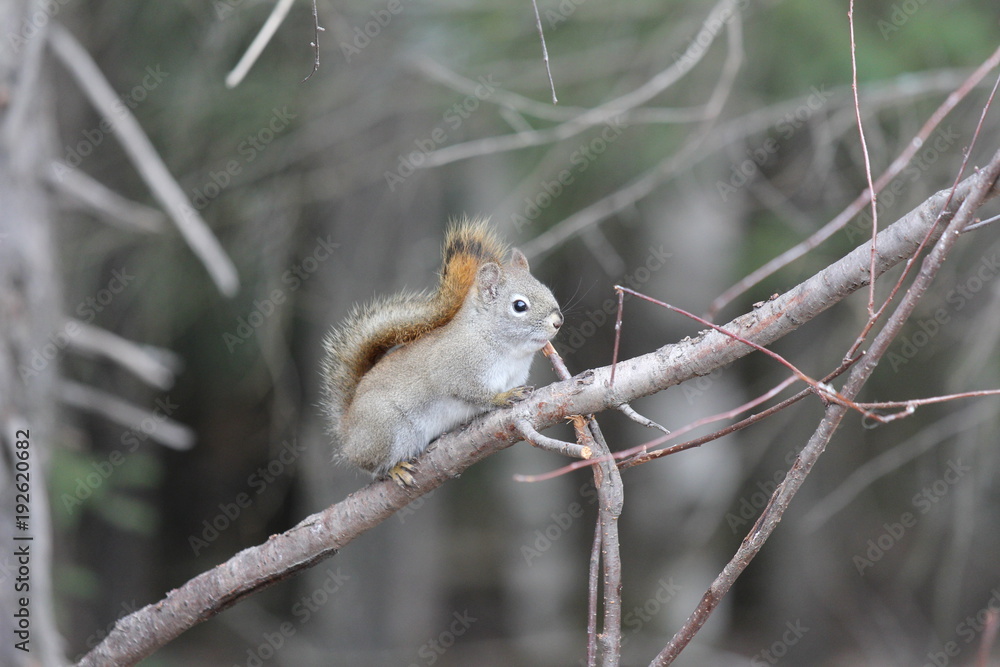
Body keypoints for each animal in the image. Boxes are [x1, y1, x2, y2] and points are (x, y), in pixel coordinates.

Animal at [321, 218, 563, 486]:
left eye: (546, 289)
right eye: (519, 306)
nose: (558, 321)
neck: (509, 350)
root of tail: (347, 434)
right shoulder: (456, 369)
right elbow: (473, 393)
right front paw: (502, 397)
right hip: (387, 429)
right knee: (375, 467)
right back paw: (396, 469)